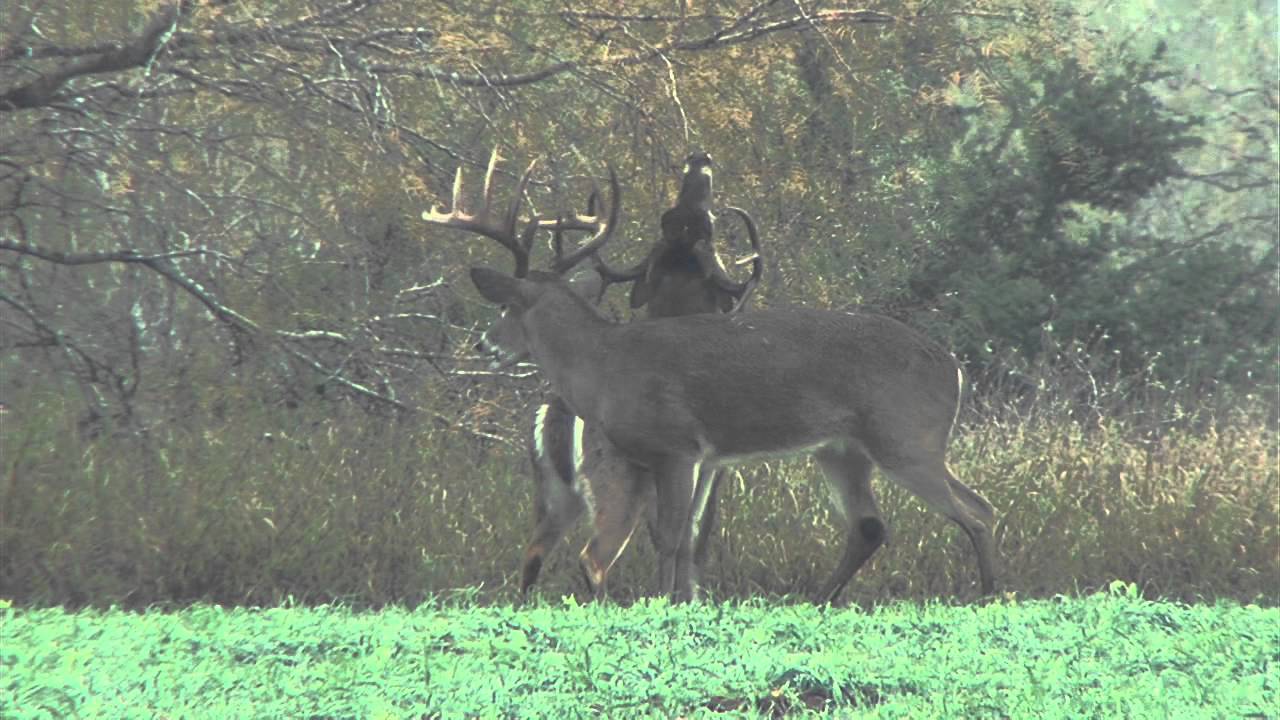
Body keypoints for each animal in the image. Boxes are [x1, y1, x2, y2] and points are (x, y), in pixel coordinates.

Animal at [422, 149, 757, 594]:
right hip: (616, 484)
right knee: (594, 559)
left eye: (506, 307)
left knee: (533, 555)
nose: (483, 344)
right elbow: (689, 542)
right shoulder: (704, 466)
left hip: (556, 493)